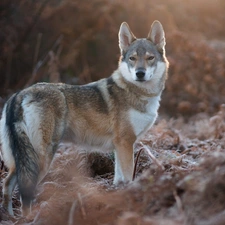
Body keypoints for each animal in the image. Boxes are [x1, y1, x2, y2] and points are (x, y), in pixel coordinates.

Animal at [0, 21, 169, 216]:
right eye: (132, 59)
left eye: (150, 58)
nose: (140, 73)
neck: (138, 93)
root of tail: (19, 94)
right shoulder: (126, 142)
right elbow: (128, 177)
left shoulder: (120, 146)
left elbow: (119, 179)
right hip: (41, 159)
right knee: (24, 192)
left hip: (21, 160)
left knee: (7, 184)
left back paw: (11, 217)